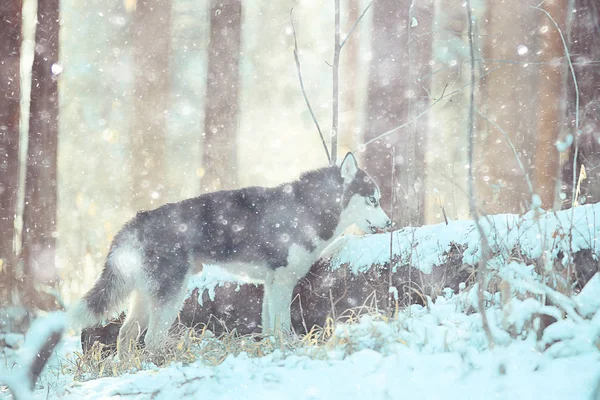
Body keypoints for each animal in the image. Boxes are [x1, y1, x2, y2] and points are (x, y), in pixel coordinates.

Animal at [68, 153, 392, 356]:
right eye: (373, 200)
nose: (390, 223)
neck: (308, 209)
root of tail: (136, 221)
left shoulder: (271, 284)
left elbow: (269, 327)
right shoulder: (283, 282)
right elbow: (282, 326)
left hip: (144, 297)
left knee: (126, 337)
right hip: (172, 295)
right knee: (151, 339)